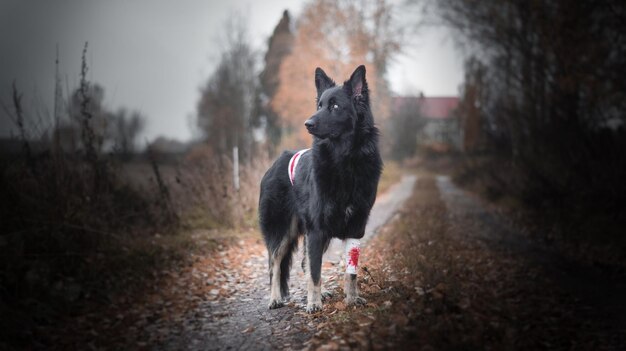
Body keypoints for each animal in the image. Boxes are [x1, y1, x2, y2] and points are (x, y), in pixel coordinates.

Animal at [258, 66, 380, 314]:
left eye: (335, 106)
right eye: (320, 105)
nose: (308, 123)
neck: (345, 160)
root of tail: (276, 162)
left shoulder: (355, 228)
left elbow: (350, 273)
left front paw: (351, 299)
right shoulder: (316, 230)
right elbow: (314, 273)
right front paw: (313, 304)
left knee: (304, 263)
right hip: (282, 231)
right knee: (274, 265)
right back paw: (275, 299)